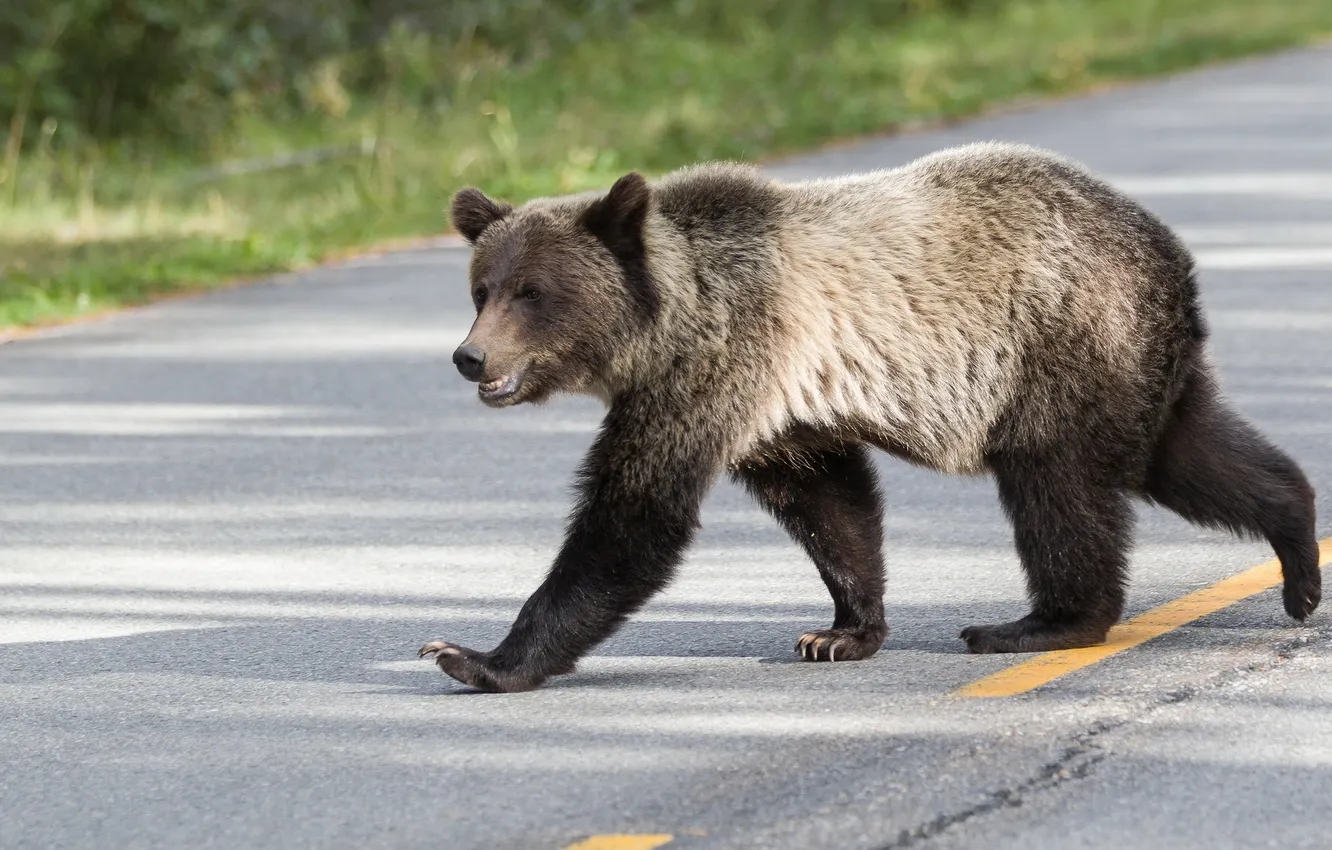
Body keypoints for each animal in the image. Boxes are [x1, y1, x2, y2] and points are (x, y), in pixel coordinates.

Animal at [419, 141, 1320, 693]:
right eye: (480, 289)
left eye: (532, 292)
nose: (470, 357)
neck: (667, 322)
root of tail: (1171, 252)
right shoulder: (776, 408)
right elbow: (831, 507)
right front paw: (840, 631)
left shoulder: (720, 361)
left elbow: (633, 517)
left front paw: (473, 656)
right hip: (1133, 365)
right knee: (1194, 452)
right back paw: (1300, 561)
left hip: (1062, 343)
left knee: (1059, 489)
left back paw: (1037, 624)